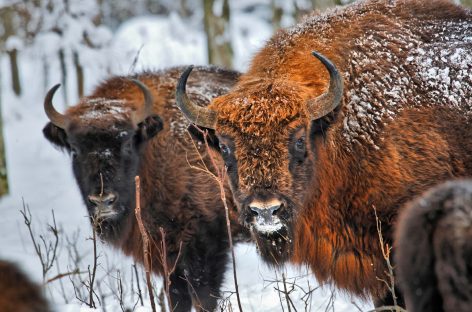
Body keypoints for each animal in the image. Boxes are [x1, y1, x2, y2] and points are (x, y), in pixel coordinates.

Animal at [43, 64, 247, 310]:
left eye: (127, 142)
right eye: (74, 149)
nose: (102, 201)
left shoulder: (206, 244)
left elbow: (203, 297)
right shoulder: (168, 255)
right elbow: (177, 296)